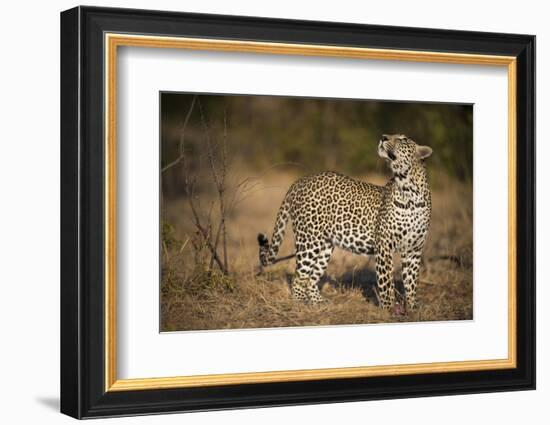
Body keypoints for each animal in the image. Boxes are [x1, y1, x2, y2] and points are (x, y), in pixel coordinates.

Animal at [258, 134, 436, 310]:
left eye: (402, 139)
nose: (383, 137)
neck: (409, 191)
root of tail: (300, 181)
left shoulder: (414, 250)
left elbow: (411, 282)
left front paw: (413, 307)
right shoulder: (384, 245)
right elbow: (386, 282)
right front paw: (389, 309)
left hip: (324, 245)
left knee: (312, 277)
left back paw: (319, 302)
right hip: (308, 240)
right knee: (299, 277)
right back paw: (301, 305)